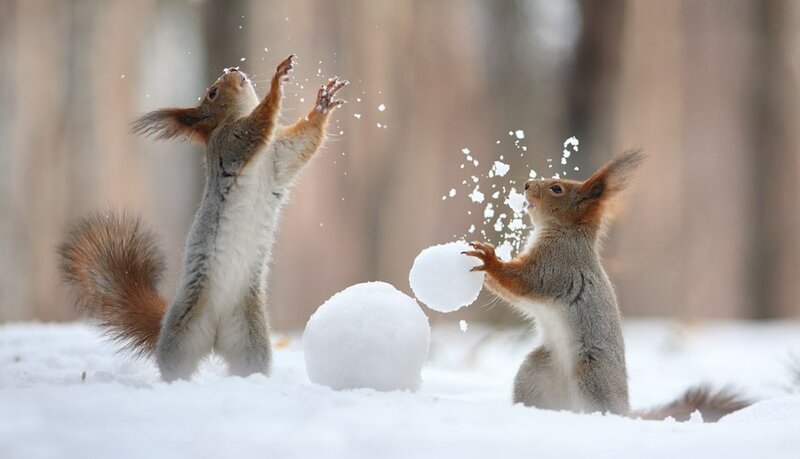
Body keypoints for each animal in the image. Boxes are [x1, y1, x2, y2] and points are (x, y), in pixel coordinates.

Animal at [59, 55, 348, 381]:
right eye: (212, 92)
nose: (232, 70)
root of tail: (216, 335)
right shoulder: (232, 142)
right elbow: (259, 124)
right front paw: (277, 82)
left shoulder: (279, 159)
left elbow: (304, 141)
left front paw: (323, 103)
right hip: (183, 334)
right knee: (175, 366)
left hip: (250, 339)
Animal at [464, 150, 749, 422]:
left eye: (557, 189)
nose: (526, 184)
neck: (569, 232)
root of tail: (626, 410)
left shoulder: (556, 265)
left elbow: (524, 280)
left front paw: (489, 261)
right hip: (535, 370)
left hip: (592, 373)